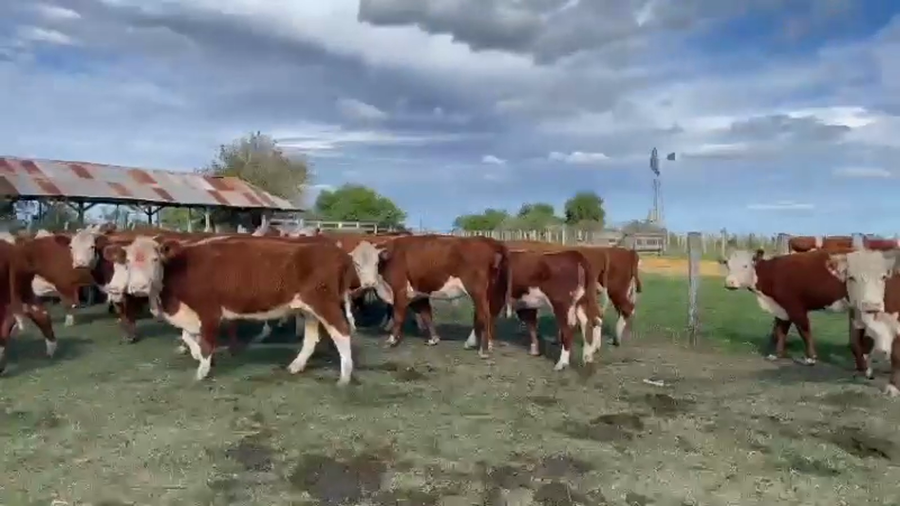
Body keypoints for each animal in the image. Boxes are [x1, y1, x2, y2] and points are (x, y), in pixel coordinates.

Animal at [107, 236, 358, 384]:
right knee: (311, 337)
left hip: (324, 303)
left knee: (342, 332)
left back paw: (345, 376)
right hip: (308, 308)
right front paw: (198, 358)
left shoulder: (209, 311)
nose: (138, 287)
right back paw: (297, 366)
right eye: (127, 262)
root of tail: (338, 252)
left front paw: (202, 371)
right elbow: (188, 337)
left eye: (155, 259)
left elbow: (206, 342)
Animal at [349, 234, 511, 357]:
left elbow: (398, 316)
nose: (368, 283)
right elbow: (427, 315)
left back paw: (483, 349)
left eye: (376, 262)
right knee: (487, 314)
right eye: (356, 264)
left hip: (477, 291)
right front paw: (434, 339)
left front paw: (391, 340)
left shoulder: (400, 291)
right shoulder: (418, 294)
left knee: (485, 315)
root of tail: (488, 240)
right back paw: (477, 343)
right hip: (492, 291)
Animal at [720, 248, 858, 364]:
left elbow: (804, 331)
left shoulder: (795, 307)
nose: (729, 282)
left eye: (745, 265)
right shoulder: (782, 309)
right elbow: (781, 330)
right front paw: (777, 354)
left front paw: (811, 357)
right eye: (728, 265)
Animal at [824, 249, 900, 396]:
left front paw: (893, 386)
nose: (871, 305)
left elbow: (896, 354)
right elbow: (857, 344)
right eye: (851, 278)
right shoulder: (856, 318)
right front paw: (865, 370)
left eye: (883, 277)